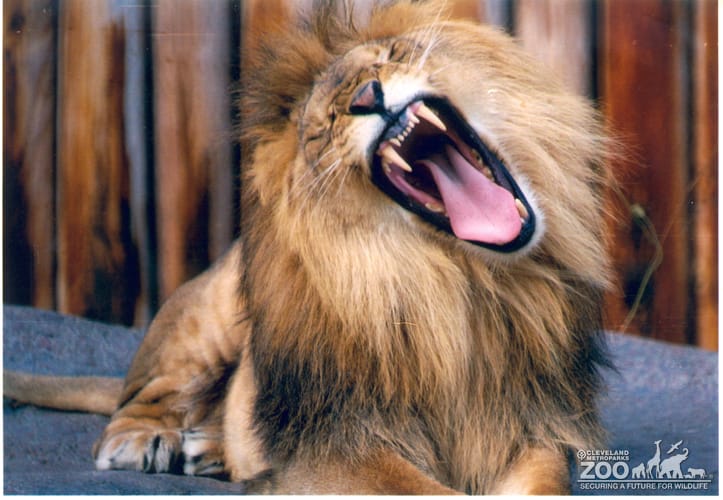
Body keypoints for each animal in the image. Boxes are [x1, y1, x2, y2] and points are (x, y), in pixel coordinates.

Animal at [5, 0, 613, 494]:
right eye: (325, 125)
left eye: (392, 55)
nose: (368, 96)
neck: (462, 283)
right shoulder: (342, 442)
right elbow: (419, 489)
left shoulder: (532, 425)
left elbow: (545, 483)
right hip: (210, 313)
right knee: (142, 395)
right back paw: (147, 440)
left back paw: (209, 450)